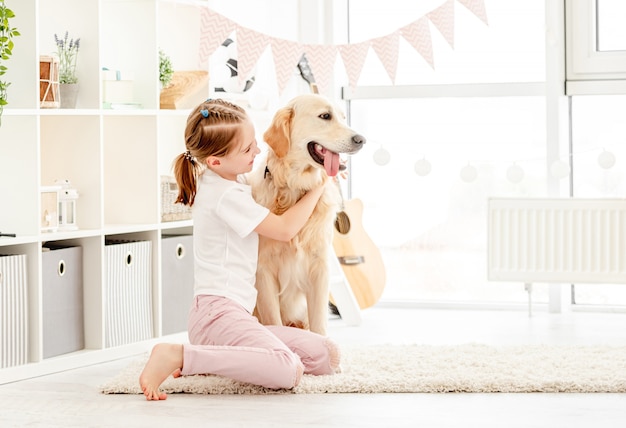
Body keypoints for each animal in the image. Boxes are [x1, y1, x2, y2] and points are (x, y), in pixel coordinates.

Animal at [249, 93, 366, 334]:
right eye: (325, 116)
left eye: (343, 117)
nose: (361, 139)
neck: (294, 189)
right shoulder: (263, 271)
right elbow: (274, 321)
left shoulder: (319, 269)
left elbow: (319, 325)